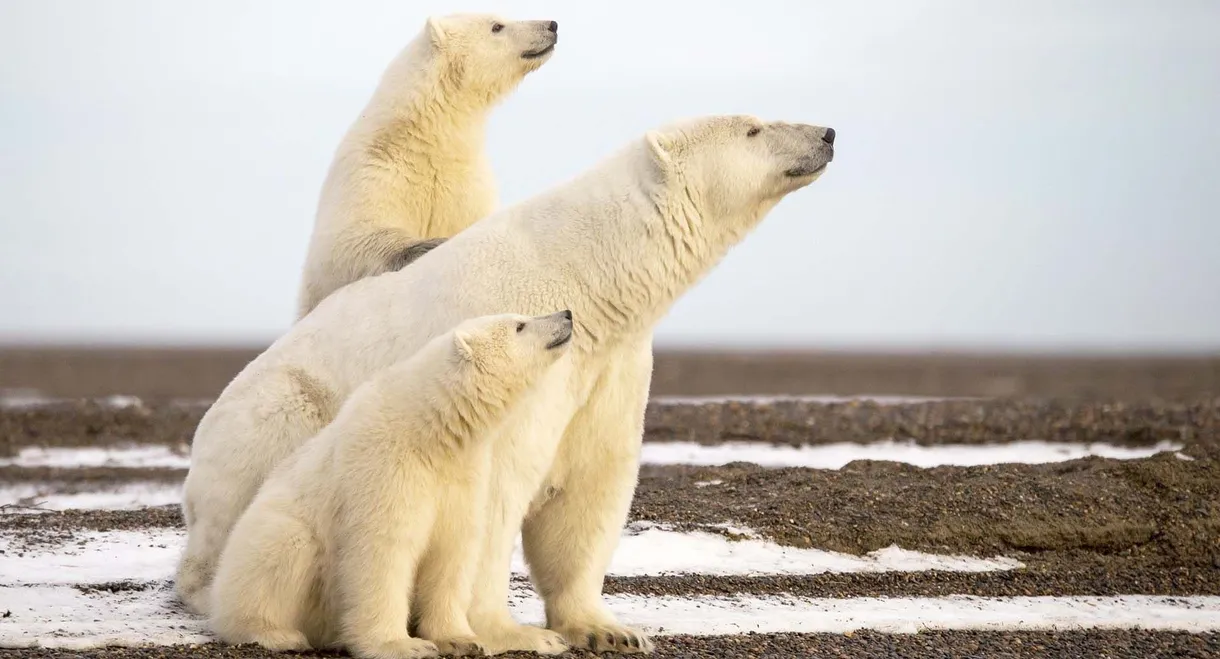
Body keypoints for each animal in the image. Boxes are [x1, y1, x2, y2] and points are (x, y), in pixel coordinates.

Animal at [209, 309, 575, 659]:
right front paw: (403, 645)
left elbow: (452, 552)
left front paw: (461, 640)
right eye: (520, 325)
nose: (567, 315)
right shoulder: (386, 466)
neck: (431, 429)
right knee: (281, 554)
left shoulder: (463, 476)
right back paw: (276, 633)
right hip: (271, 537)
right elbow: (383, 550)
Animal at [295, 12, 561, 317]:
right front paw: (428, 245)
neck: (425, 138)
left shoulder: (465, 183)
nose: (551, 25)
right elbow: (345, 242)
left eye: (501, 18)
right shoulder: (372, 171)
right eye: (497, 26)